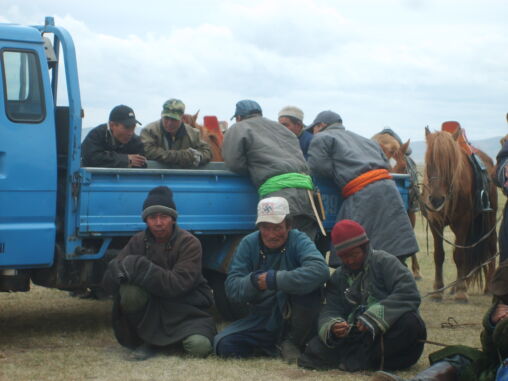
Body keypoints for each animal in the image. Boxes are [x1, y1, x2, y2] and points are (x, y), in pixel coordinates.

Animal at [420, 126, 496, 302]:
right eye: (429, 162)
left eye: (450, 163)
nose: (436, 199)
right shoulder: (435, 224)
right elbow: (439, 255)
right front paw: (438, 290)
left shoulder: (462, 222)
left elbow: (459, 255)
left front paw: (461, 292)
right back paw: (454, 287)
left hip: (490, 220)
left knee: (491, 248)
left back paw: (488, 287)